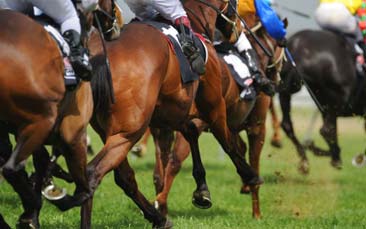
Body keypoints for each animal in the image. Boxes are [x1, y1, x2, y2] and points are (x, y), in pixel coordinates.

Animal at [0, 0, 118, 228]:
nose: (115, 25)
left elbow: (42, 161)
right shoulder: (73, 133)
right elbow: (83, 190)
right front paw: (52, 198)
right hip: (43, 120)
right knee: (11, 168)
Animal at [152, 2, 286, 220]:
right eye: (281, 43)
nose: (276, 78)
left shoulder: (228, 125)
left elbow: (238, 148)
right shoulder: (255, 126)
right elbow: (252, 160)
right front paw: (256, 211)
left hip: (163, 126)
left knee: (160, 167)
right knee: (174, 161)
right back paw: (163, 201)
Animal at [278, 29, 364, 174]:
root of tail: (298, 44)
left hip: (291, 89)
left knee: (287, 124)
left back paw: (306, 157)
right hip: (338, 98)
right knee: (326, 130)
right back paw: (332, 156)